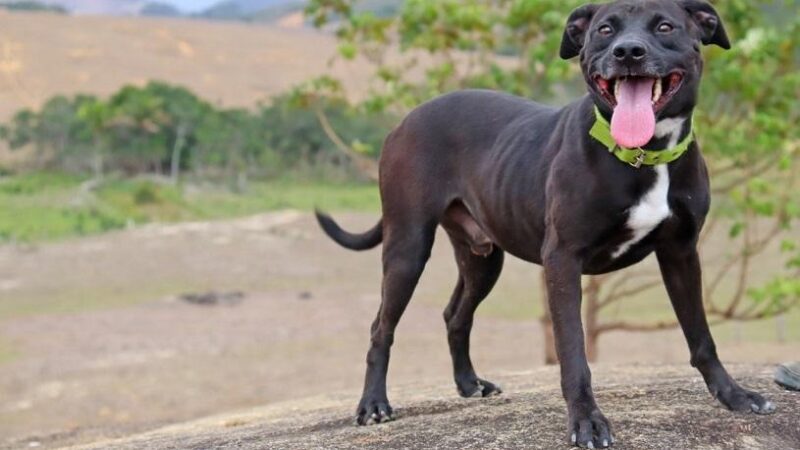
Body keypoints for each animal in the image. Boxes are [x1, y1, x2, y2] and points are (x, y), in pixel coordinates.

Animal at [314, 1, 776, 448]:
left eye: (665, 27)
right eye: (604, 30)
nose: (628, 52)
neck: (645, 154)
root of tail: (404, 121)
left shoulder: (680, 252)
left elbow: (701, 335)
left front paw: (734, 395)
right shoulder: (563, 260)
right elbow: (573, 351)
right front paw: (586, 421)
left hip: (483, 259)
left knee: (455, 314)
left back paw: (468, 383)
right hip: (408, 246)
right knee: (381, 327)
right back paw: (374, 404)